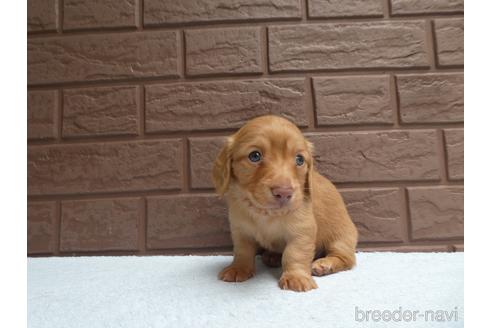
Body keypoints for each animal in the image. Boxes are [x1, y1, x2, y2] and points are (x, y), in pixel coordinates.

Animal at [211, 115, 358, 292]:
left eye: (299, 159)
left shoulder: (302, 232)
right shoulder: (241, 231)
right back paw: (272, 256)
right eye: (255, 156)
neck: (266, 213)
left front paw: (296, 277)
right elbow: (242, 252)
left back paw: (325, 264)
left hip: (341, 237)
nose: (284, 192)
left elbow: (294, 254)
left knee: (346, 258)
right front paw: (238, 268)